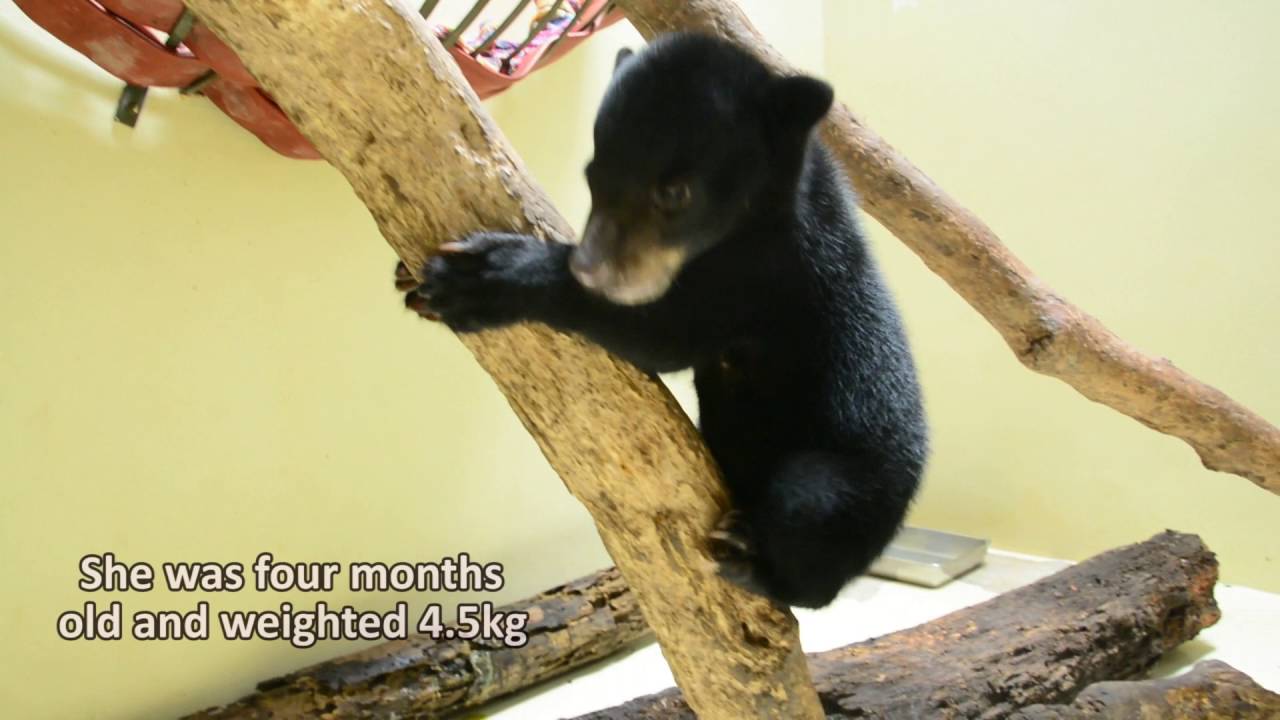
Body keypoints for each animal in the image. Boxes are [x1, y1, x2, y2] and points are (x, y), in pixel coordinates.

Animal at [396, 32, 929, 609]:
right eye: (592, 176)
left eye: (674, 193)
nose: (589, 267)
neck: (766, 213)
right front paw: (410, 279)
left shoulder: (769, 278)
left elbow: (662, 332)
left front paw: (480, 277)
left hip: (847, 489)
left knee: (811, 513)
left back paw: (751, 561)